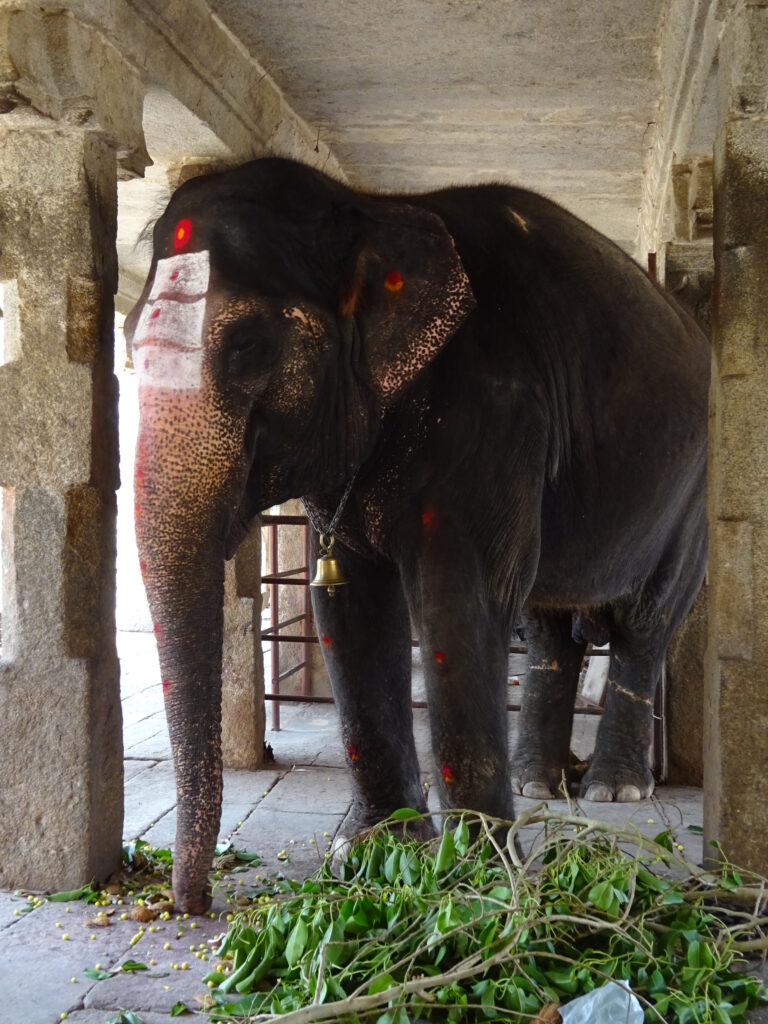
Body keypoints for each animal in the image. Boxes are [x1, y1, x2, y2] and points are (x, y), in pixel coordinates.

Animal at [125, 157, 709, 913]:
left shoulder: (497, 417)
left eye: (248, 347)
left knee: (645, 621)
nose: (191, 904)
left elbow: (454, 602)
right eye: (126, 338)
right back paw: (540, 784)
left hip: (693, 490)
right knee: (549, 629)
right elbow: (347, 605)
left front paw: (480, 884)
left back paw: (614, 791)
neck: (373, 212)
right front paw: (375, 857)